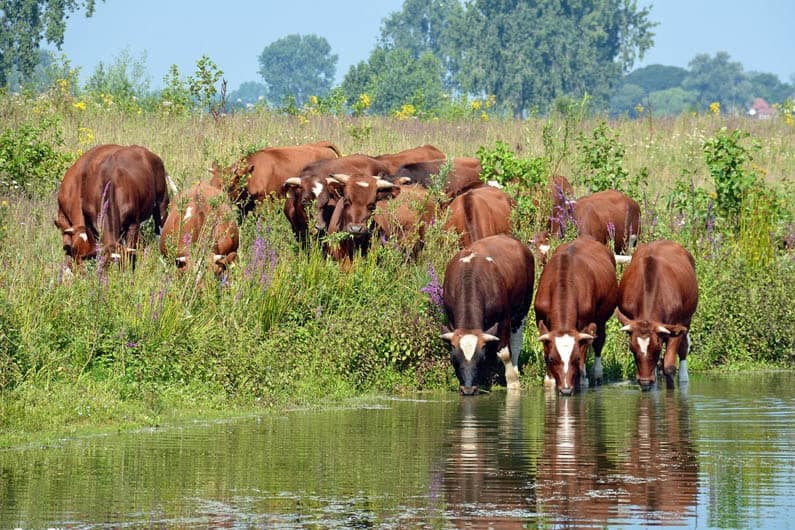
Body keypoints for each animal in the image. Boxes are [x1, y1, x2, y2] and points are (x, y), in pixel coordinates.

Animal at [441, 234, 535, 395]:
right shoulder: (451, 321)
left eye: (480, 358)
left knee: (516, 342)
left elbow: (504, 353)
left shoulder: (504, 320)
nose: (468, 389)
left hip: (522, 310)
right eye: (454, 359)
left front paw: (513, 382)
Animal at [534, 237, 618, 395]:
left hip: (601, 319)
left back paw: (596, 373)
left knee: (598, 342)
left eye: (576, 358)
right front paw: (549, 380)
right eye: (552, 359)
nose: (566, 390)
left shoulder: (586, 325)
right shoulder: (541, 321)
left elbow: (585, 347)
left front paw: (582, 379)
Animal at [615, 240, 699, 390]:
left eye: (657, 349)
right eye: (632, 349)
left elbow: (669, 367)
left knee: (683, 349)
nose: (644, 381)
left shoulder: (677, 326)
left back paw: (683, 379)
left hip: (687, 320)